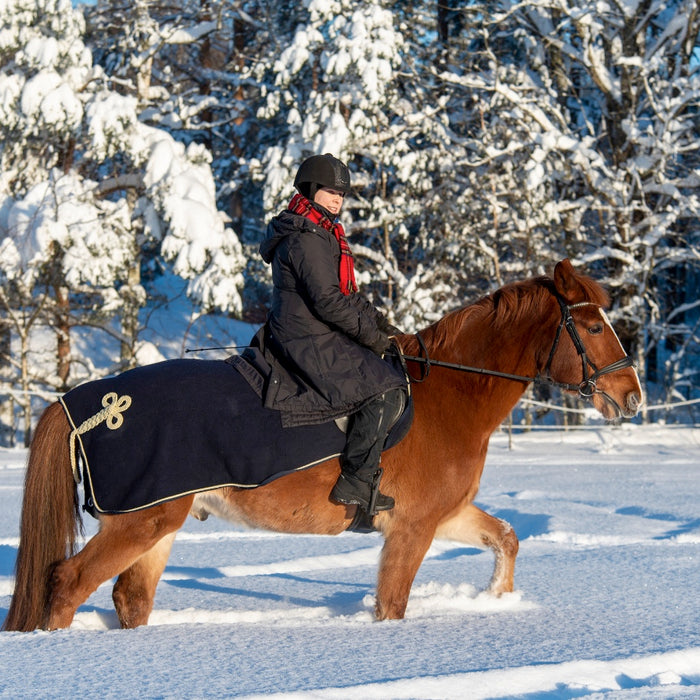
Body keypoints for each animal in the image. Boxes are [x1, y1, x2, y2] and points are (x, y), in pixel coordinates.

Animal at [2, 260, 644, 632]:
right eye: (592, 328)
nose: (632, 396)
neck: (450, 394)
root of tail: (83, 403)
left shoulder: (444, 515)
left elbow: (506, 538)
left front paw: (497, 601)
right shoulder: (412, 527)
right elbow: (392, 606)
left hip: (160, 524)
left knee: (129, 598)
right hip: (138, 522)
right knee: (66, 585)